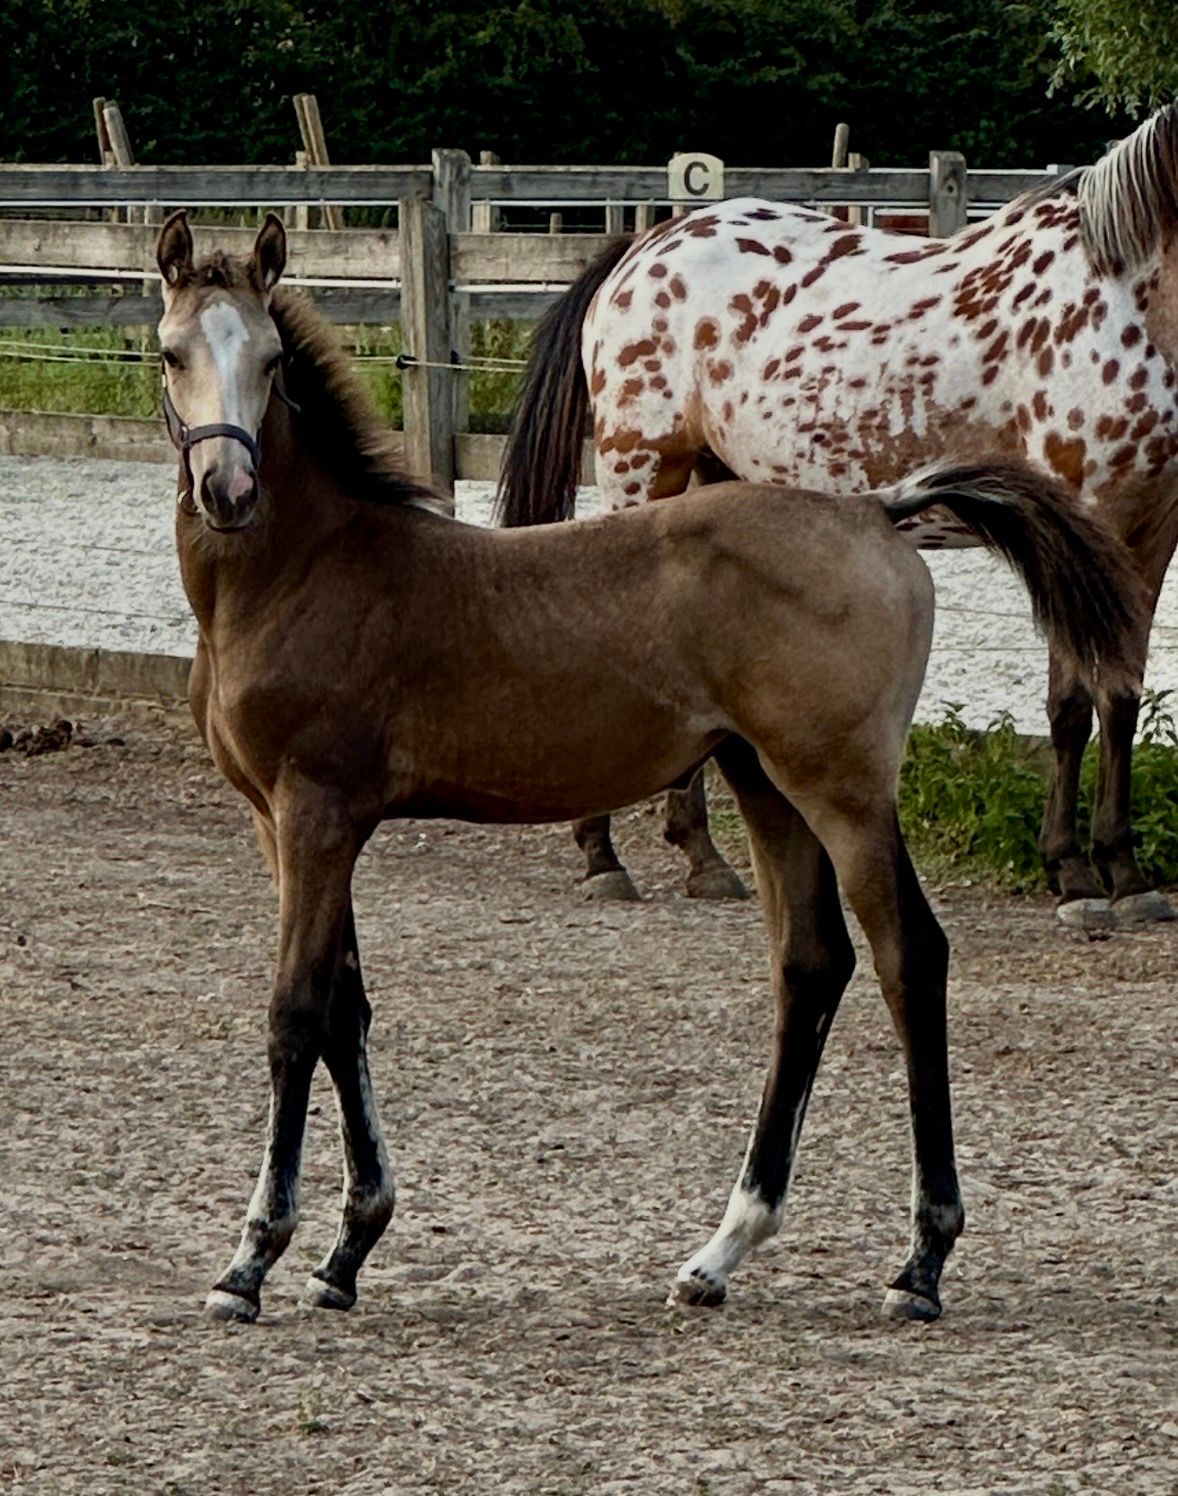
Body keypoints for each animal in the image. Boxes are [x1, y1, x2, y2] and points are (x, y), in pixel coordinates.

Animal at [155, 210, 1143, 1325]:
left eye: (271, 361)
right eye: (171, 353)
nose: (227, 491)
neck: (302, 570)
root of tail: (876, 512)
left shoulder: (315, 812)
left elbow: (295, 1013)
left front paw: (252, 1260)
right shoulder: (289, 822)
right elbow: (346, 1008)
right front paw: (347, 1248)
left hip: (842, 788)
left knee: (908, 958)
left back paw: (920, 1263)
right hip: (765, 780)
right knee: (811, 964)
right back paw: (720, 1251)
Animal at [497, 104, 1178, 926]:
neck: (1126, 293)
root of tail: (645, 246)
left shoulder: (1150, 535)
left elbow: (1121, 696)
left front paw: (1126, 872)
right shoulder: (1083, 518)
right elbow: (1073, 701)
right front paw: (1074, 875)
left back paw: (702, 856)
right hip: (640, 469)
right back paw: (603, 855)